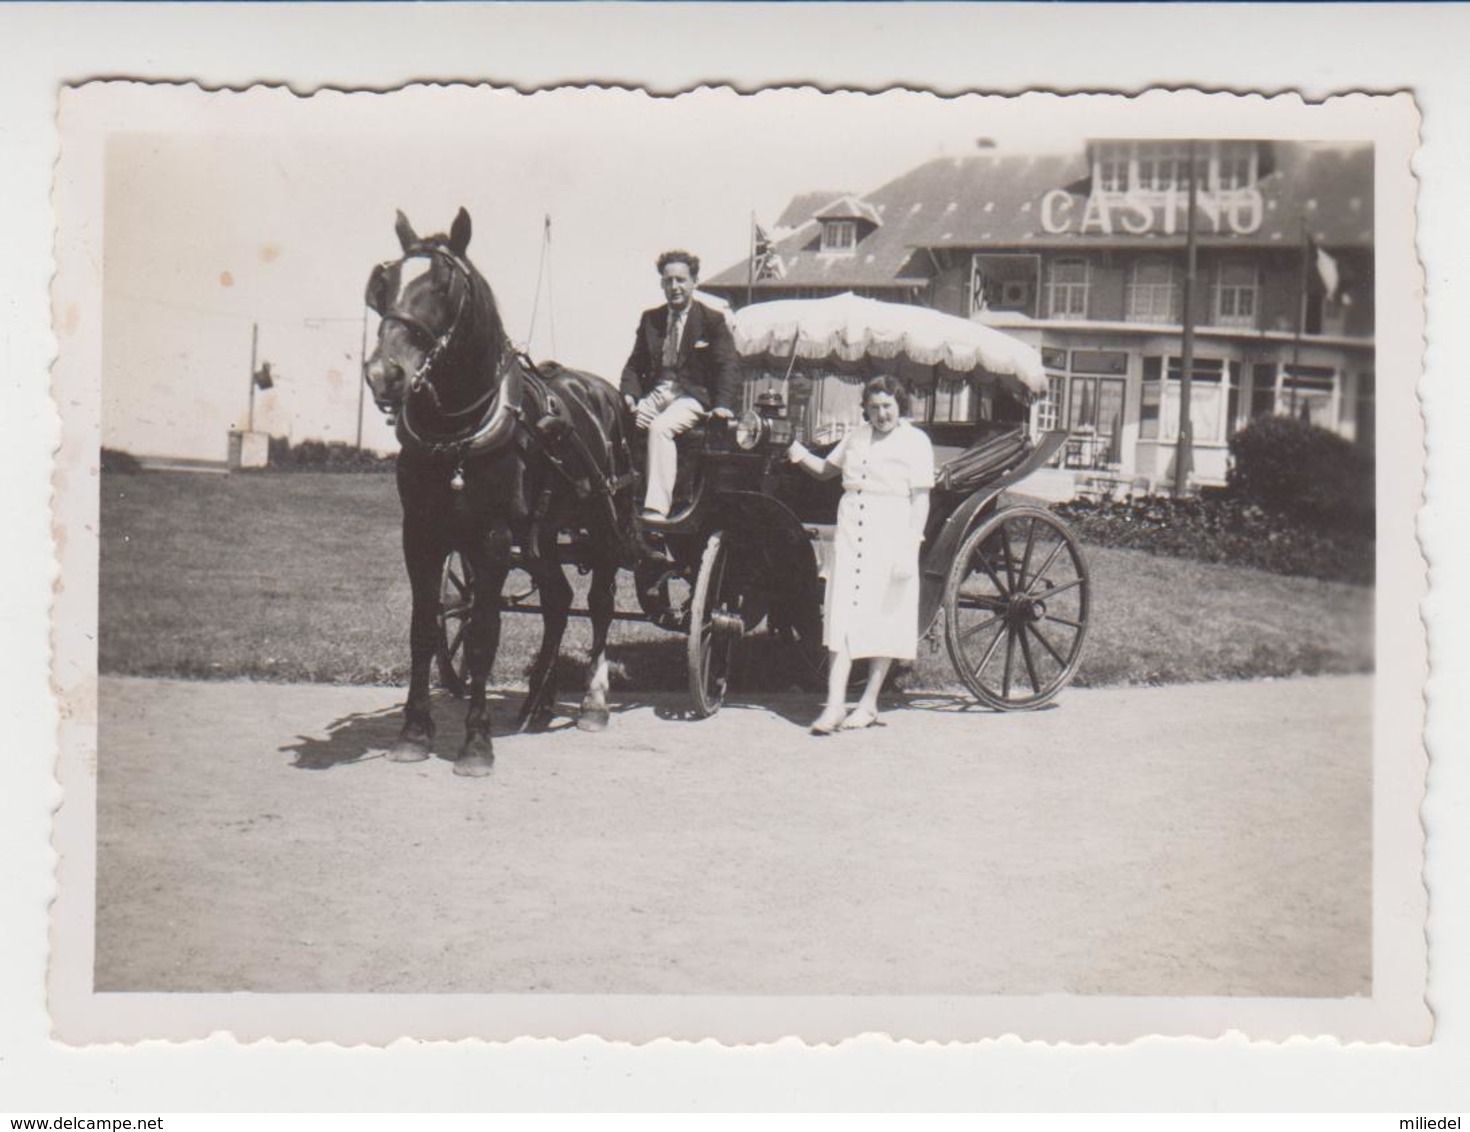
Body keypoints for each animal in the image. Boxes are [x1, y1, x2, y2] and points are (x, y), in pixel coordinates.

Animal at [361, 207, 632, 776]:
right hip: (543, 536)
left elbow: (485, 635)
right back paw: (538, 703)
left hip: (603, 526)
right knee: (558, 601)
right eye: (384, 283)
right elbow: (424, 629)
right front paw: (413, 732)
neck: (457, 431)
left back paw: (593, 703)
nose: (383, 374)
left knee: (599, 604)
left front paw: (476, 742)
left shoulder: (490, 538)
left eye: (444, 287)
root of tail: (604, 393)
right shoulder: (421, 533)